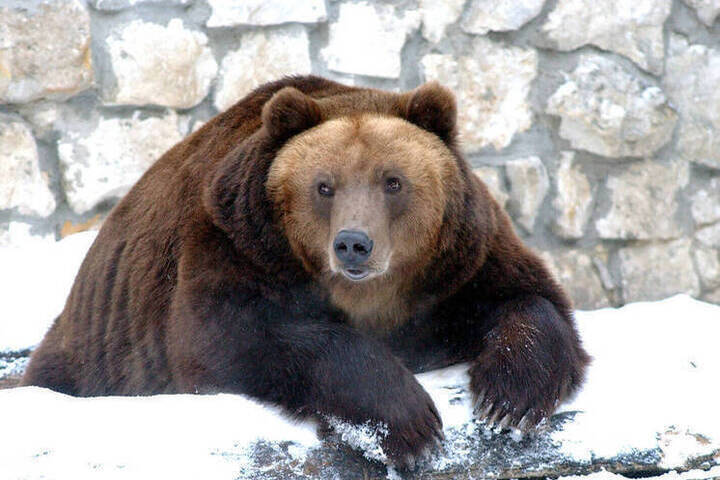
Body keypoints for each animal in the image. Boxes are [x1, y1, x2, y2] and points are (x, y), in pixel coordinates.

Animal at [22, 75, 590, 468]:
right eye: (324, 185)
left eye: (393, 181)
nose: (353, 244)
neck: (372, 297)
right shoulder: (236, 243)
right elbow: (236, 336)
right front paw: (410, 425)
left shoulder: (457, 263)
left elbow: (528, 298)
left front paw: (508, 402)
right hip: (97, 352)